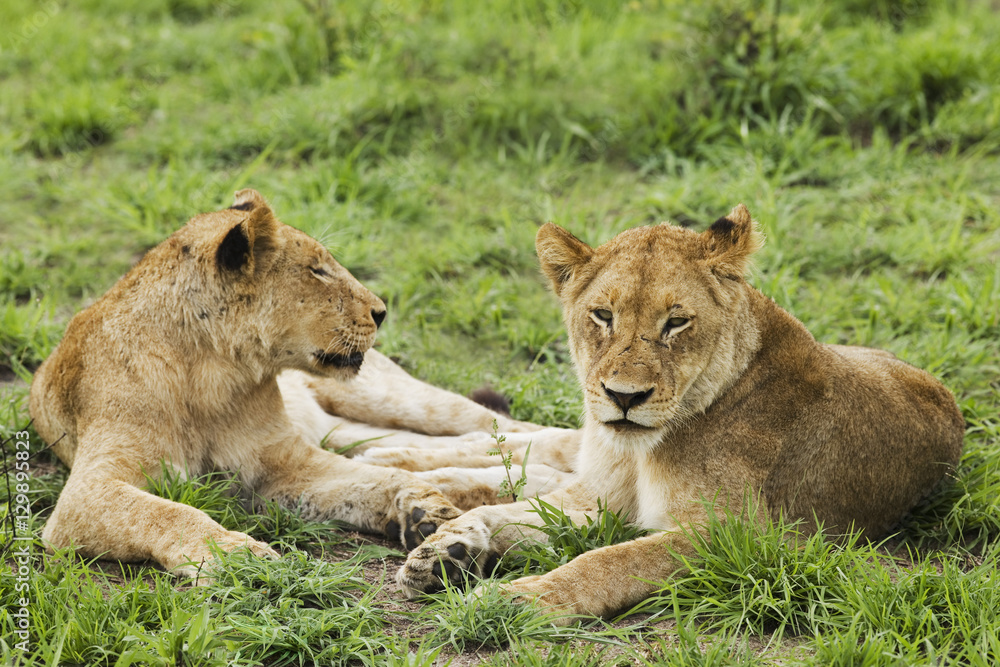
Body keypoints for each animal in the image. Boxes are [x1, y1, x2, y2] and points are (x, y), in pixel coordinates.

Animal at [29, 189, 577, 577]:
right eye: (317, 270)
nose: (381, 311)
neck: (213, 375)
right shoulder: (90, 489)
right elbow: (168, 513)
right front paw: (238, 557)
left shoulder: (283, 461)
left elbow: (372, 480)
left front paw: (425, 508)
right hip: (350, 428)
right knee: (416, 447)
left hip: (398, 398)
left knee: (520, 429)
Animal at [396, 204, 966, 622]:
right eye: (602, 315)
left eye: (676, 322)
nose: (624, 396)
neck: (641, 452)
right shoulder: (599, 499)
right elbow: (512, 512)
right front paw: (444, 551)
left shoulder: (738, 536)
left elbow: (608, 561)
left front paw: (517, 600)